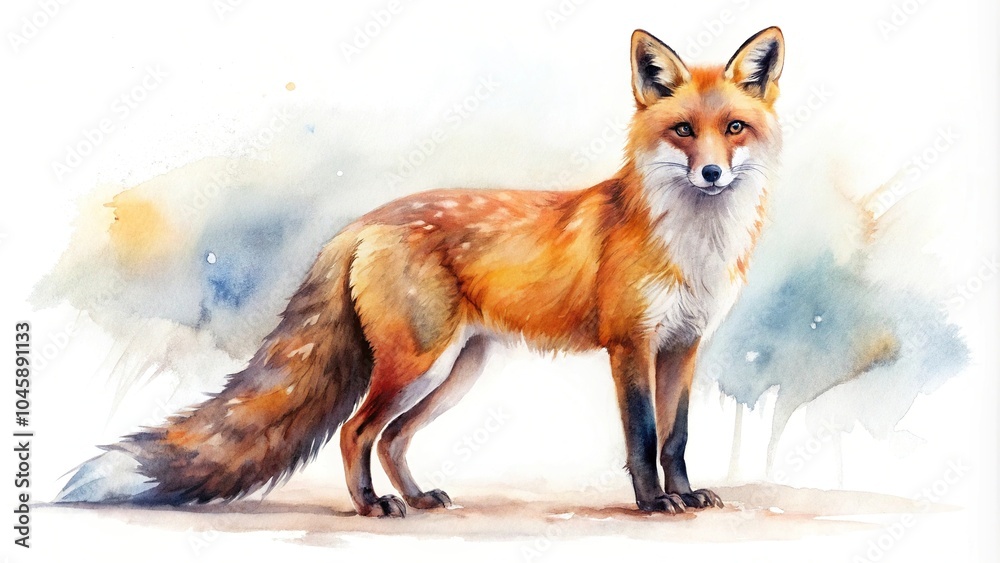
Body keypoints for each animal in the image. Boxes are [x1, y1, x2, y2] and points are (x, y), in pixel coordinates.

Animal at [57, 27, 785, 517]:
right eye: (684, 130)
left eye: (735, 128)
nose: (712, 173)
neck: (694, 247)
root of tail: (362, 223)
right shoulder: (629, 344)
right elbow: (642, 435)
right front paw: (653, 502)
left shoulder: (684, 346)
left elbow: (676, 436)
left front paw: (683, 495)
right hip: (417, 363)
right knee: (355, 431)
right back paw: (371, 506)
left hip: (455, 371)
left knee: (391, 439)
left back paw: (417, 496)